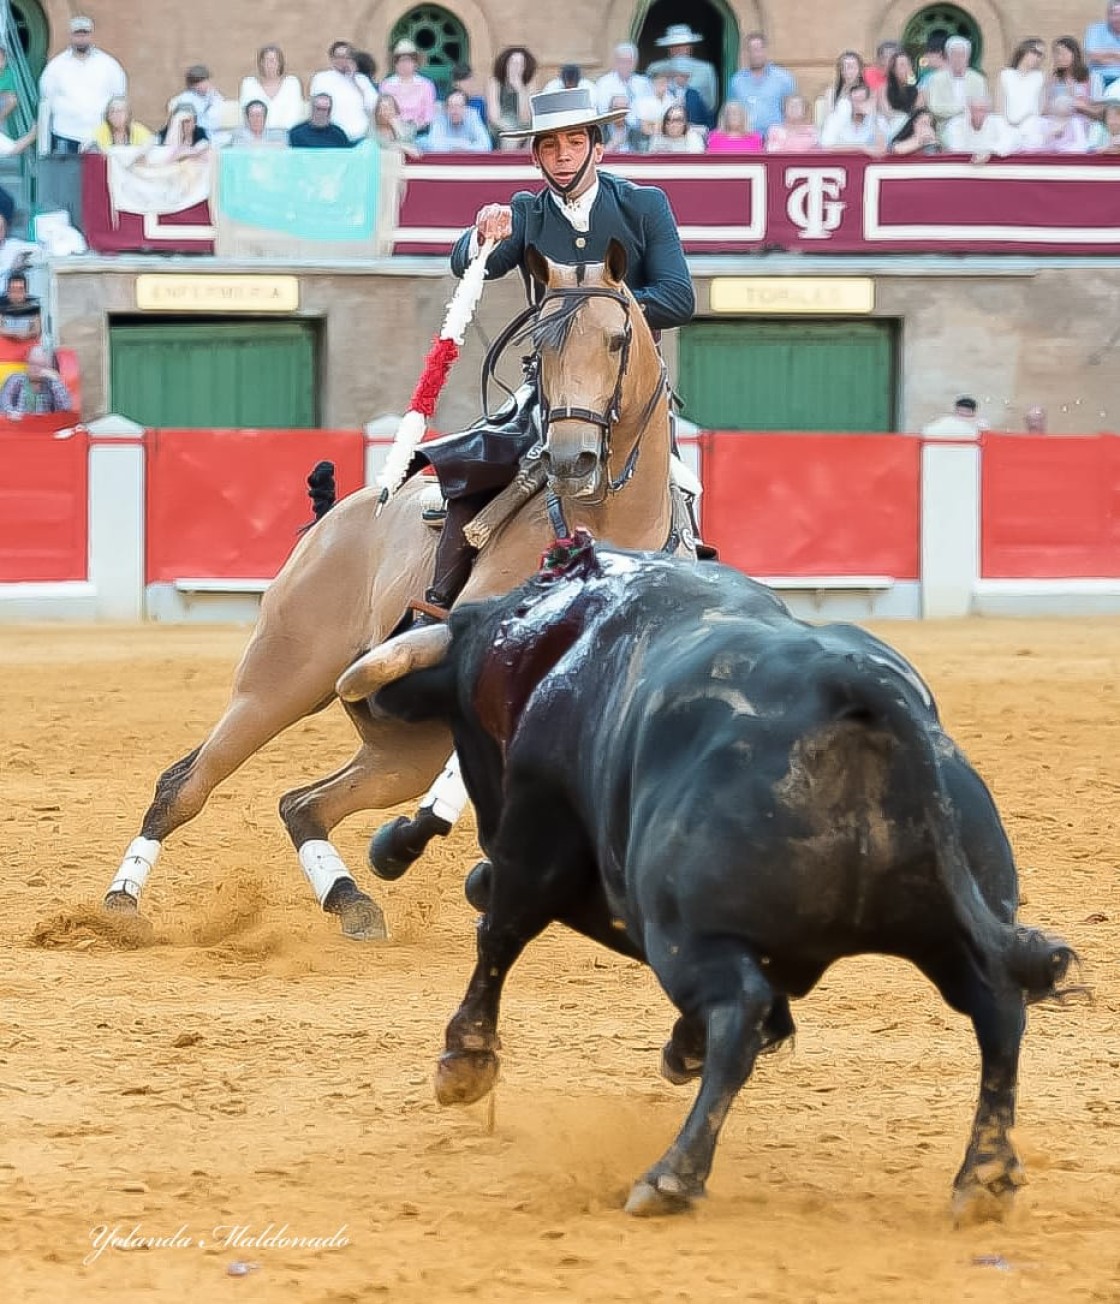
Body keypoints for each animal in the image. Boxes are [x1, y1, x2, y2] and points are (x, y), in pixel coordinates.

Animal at [104, 245, 688, 938]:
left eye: (618, 340)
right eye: (537, 351)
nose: (572, 458)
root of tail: (333, 519)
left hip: (403, 750)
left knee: (306, 803)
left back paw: (353, 900)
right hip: (279, 680)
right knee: (187, 784)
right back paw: (120, 903)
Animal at [344, 545, 1079, 1215]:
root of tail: (861, 694)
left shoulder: (541, 841)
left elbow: (500, 932)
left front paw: (464, 1064)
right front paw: (686, 1045)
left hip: (682, 929)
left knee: (737, 1011)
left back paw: (672, 1175)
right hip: (955, 921)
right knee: (997, 1010)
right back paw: (984, 1178)